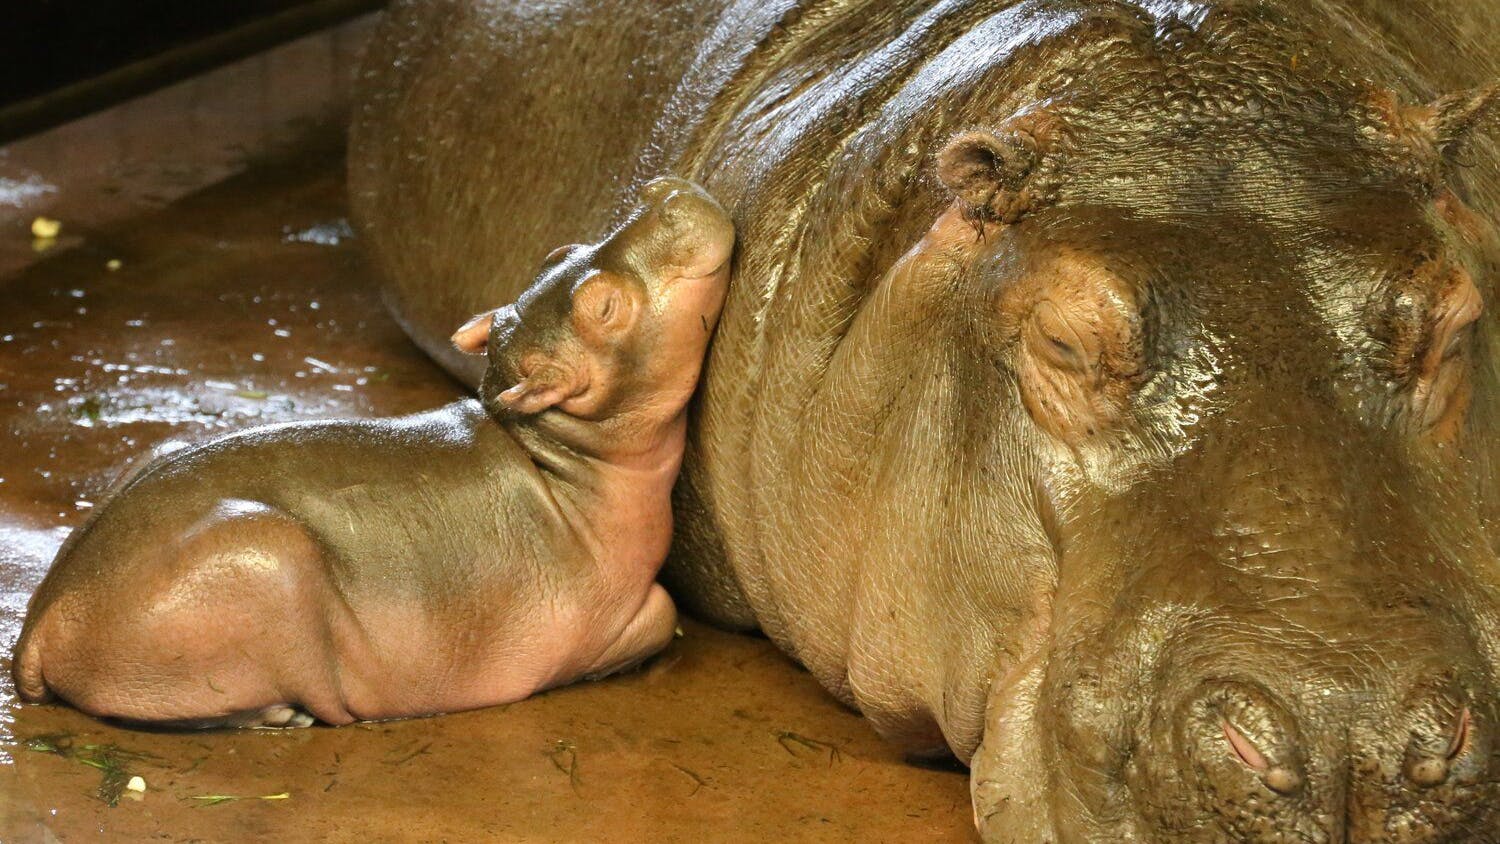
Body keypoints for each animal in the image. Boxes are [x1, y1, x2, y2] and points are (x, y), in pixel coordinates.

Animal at [13, 177, 735, 726]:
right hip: (267, 558)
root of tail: (43, 620)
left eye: (562, 250)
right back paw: (286, 716)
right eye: (605, 305)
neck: (559, 455)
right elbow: (663, 613)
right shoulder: (598, 616)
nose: (664, 190)